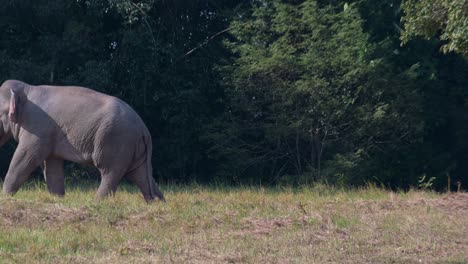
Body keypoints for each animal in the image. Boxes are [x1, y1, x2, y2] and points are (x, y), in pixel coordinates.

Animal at [0, 79, 165, 201]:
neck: (27, 89)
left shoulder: (38, 128)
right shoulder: (49, 134)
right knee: (141, 175)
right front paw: (58, 199)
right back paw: (156, 203)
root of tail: (143, 128)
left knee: (111, 172)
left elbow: (25, 157)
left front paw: (5, 197)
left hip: (116, 140)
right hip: (134, 147)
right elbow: (52, 166)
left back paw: (98, 203)